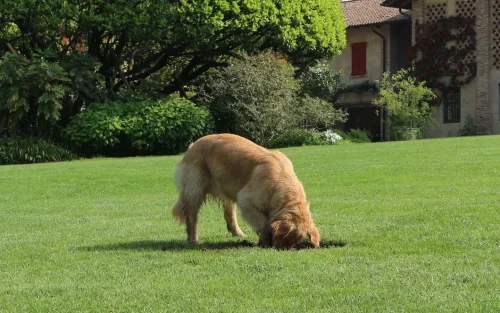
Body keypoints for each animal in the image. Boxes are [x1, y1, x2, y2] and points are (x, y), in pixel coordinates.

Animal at [172, 132, 320, 249]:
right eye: (287, 237)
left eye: (295, 242)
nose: (280, 249)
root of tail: (193, 145)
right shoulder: (246, 200)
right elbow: (264, 222)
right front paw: (264, 241)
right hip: (194, 190)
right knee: (192, 217)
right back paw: (193, 239)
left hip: (228, 189)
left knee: (229, 214)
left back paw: (238, 233)